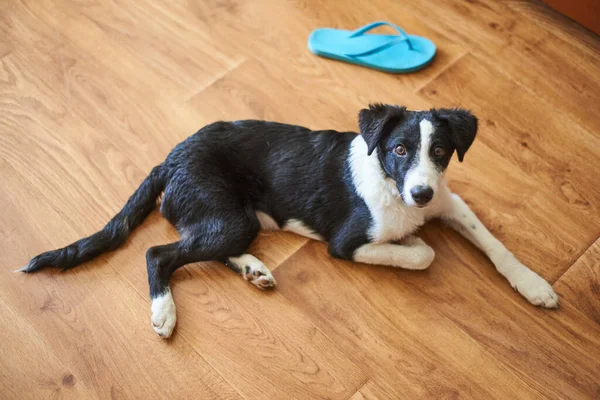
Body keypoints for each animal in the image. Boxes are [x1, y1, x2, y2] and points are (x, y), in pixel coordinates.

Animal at [16, 104, 556, 338]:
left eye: (440, 151)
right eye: (400, 149)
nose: (420, 193)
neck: (394, 184)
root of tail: (169, 159)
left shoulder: (450, 202)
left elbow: (494, 244)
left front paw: (533, 284)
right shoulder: (347, 242)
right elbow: (422, 253)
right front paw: (415, 241)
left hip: (233, 221)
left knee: (198, 245)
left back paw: (253, 270)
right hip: (229, 218)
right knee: (159, 253)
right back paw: (163, 312)